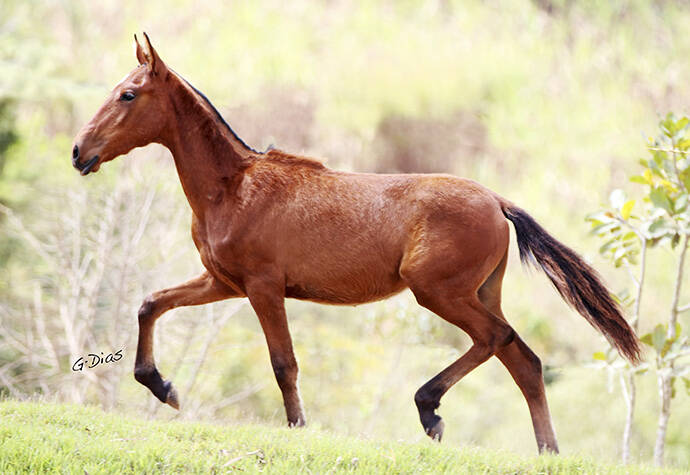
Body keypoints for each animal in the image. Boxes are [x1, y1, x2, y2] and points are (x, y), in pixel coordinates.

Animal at [71, 34, 640, 454]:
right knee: (523, 359)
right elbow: (150, 303)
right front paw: (161, 386)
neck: (232, 187)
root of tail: (497, 203)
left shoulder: (262, 286)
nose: (79, 152)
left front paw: (298, 429)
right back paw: (545, 450)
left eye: (127, 94)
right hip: (479, 291)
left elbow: (283, 362)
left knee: (497, 340)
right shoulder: (223, 282)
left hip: (438, 291)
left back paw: (430, 409)